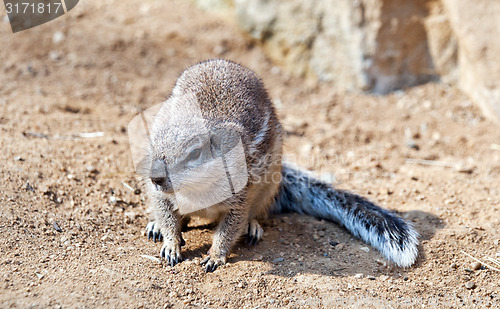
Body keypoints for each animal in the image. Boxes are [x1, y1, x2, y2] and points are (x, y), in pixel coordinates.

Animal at [136, 57, 418, 270]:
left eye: (195, 153)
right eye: (153, 142)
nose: (156, 177)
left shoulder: (241, 196)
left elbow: (229, 229)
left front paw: (216, 256)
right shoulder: (160, 194)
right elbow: (166, 214)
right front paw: (171, 243)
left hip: (267, 187)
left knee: (256, 213)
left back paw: (253, 227)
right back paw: (156, 226)